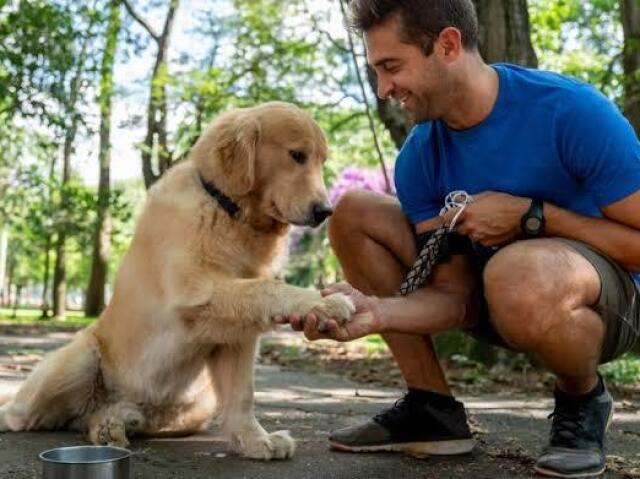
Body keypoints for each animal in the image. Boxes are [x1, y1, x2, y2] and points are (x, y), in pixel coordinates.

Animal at [0, 102, 356, 462]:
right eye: (297, 155)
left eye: (322, 161)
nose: (326, 211)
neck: (228, 211)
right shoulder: (194, 293)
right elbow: (266, 287)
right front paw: (324, 303)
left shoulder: (237, 335)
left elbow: (242, 396)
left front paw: (256, 440)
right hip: (77, 362)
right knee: (21, 414)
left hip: (197, 404)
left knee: (101, 417)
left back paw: (114, 423)